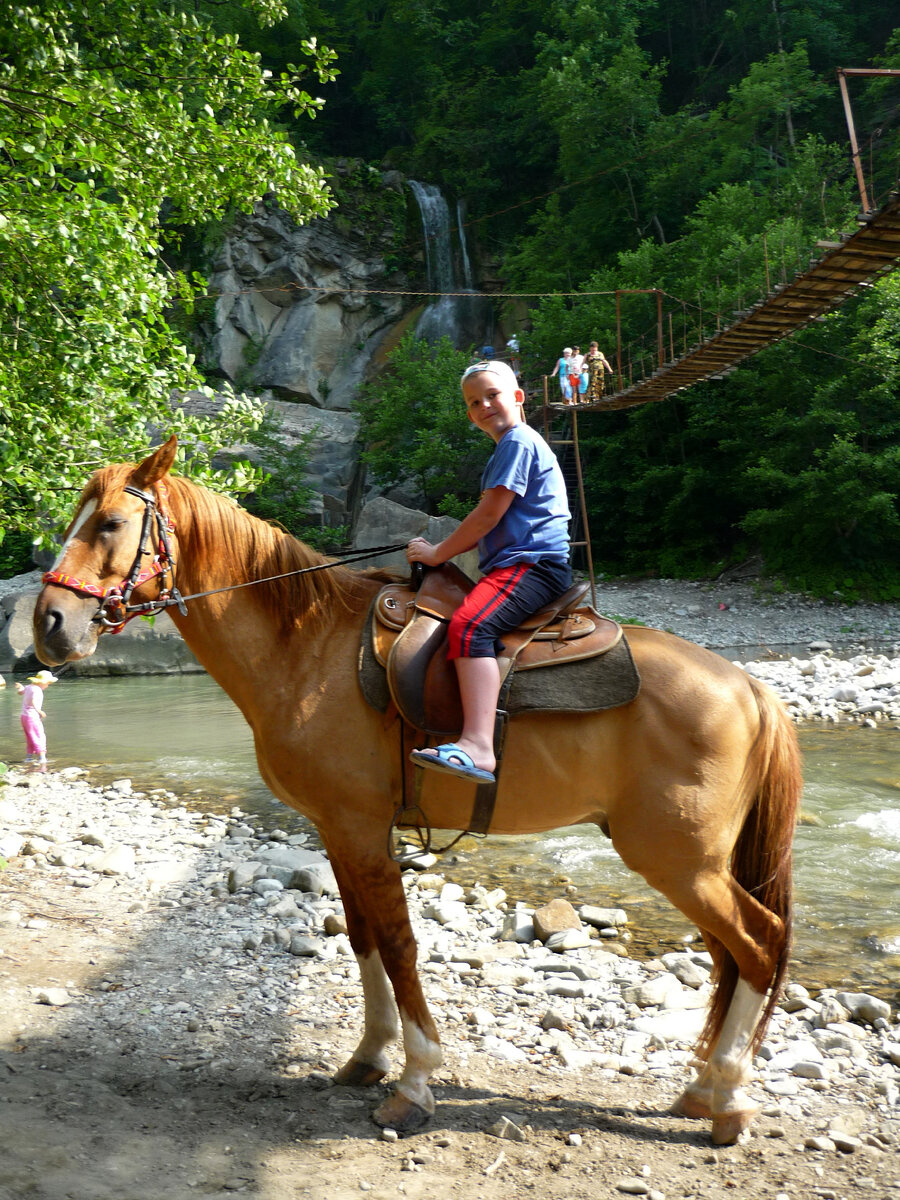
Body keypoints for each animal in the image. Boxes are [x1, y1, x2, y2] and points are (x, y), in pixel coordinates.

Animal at [31, 439, 801, 1142]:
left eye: (109, 524)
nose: (48, 624)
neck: (306, 650)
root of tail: (750, 687)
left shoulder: (362, 830)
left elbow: (399, 946)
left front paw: (415, 1080)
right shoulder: (340, 831)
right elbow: (363, 939)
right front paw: (370, 1056)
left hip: (679, 861)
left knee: (760, 944)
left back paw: (730, 1097)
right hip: (690, 865)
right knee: (731, 956)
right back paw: (703, 1090)